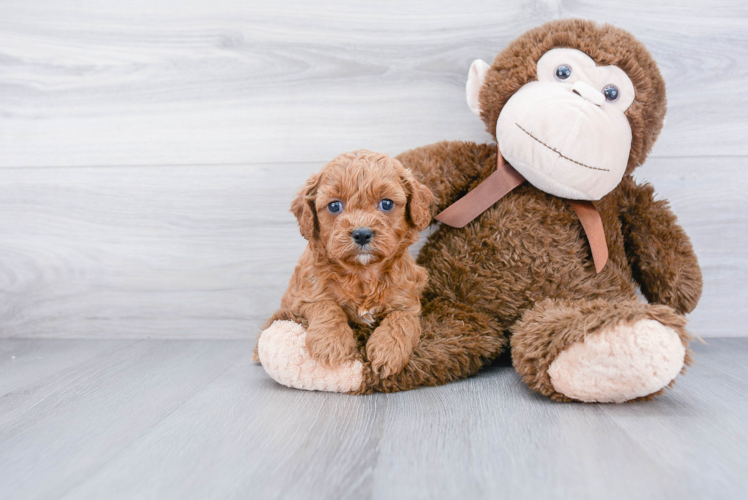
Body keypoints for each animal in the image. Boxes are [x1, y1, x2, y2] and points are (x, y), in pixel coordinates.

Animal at [260, 150, 432, 376]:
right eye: (334, 205)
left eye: (386, 203)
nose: (362, 234)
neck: (363, 272)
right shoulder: (305, 297)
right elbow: (327, 306)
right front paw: (331, 344)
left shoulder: (407, 302)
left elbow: (401, 320)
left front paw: (388, 351)